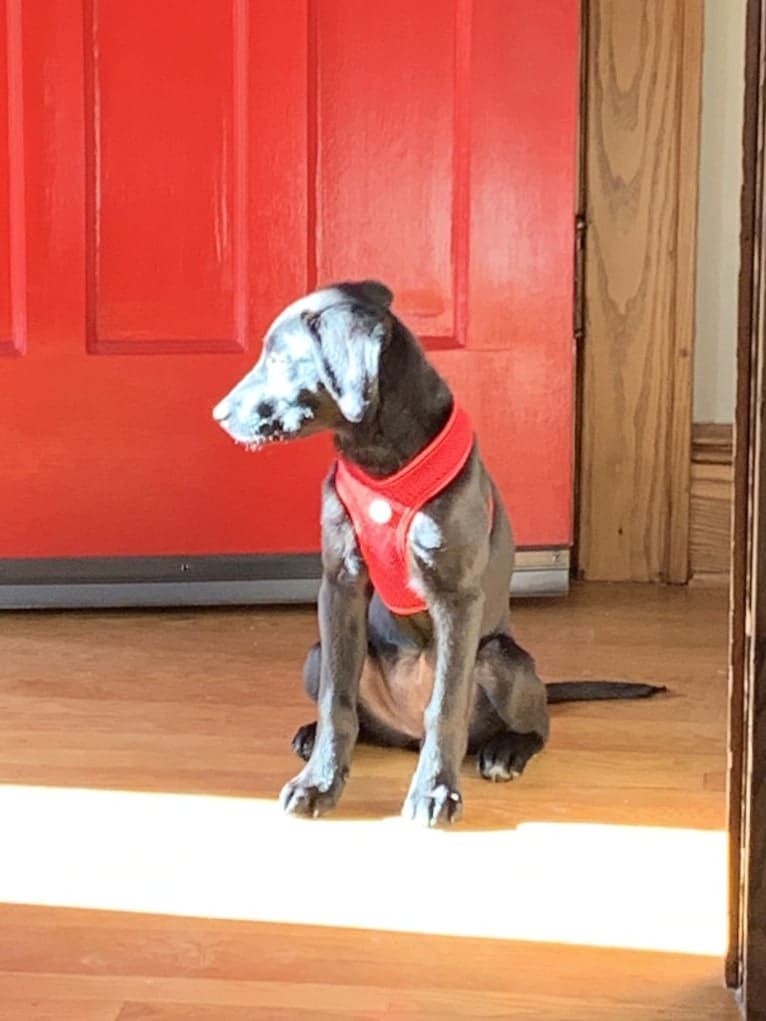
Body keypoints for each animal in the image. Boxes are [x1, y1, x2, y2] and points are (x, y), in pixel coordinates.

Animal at [213, 283, 661, 824]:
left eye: (279, 357)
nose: (218, 415)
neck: (380, 459)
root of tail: (404, 734)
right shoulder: (339, 583)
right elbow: (336, 701)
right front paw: (318, 782)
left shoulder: (457, 598)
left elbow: (446, 705)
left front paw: (434, 791)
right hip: (316, 654)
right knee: (357, 713)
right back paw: (313, 735)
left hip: (500, 656)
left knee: (531, 724)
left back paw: (505, 751)